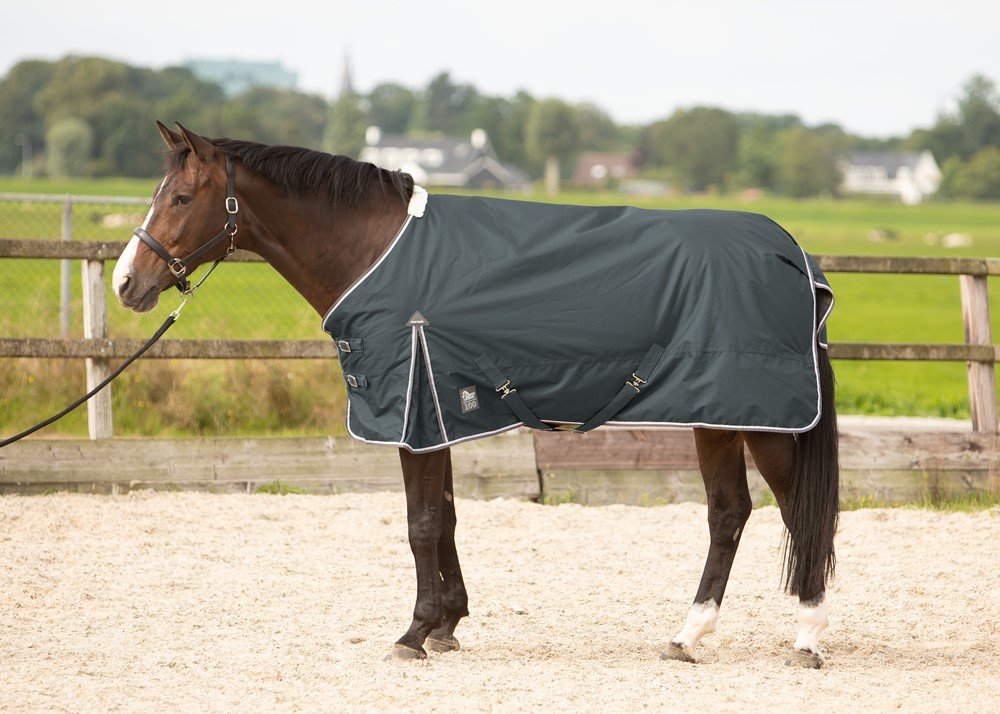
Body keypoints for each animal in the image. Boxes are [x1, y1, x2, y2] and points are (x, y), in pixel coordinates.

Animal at [114, 122, 839, 668]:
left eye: (182, 198)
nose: (127, 282)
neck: (378, 253)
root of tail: (792, 254)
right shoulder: (435, 412)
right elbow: (448, 517)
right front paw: (448, 624)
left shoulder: (412, 413)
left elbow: (420, 523)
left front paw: (413, 633)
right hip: (717, 416)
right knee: (730, 512)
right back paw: (688, 636)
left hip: (762, 420)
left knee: (796, 512)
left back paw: (806, 637)